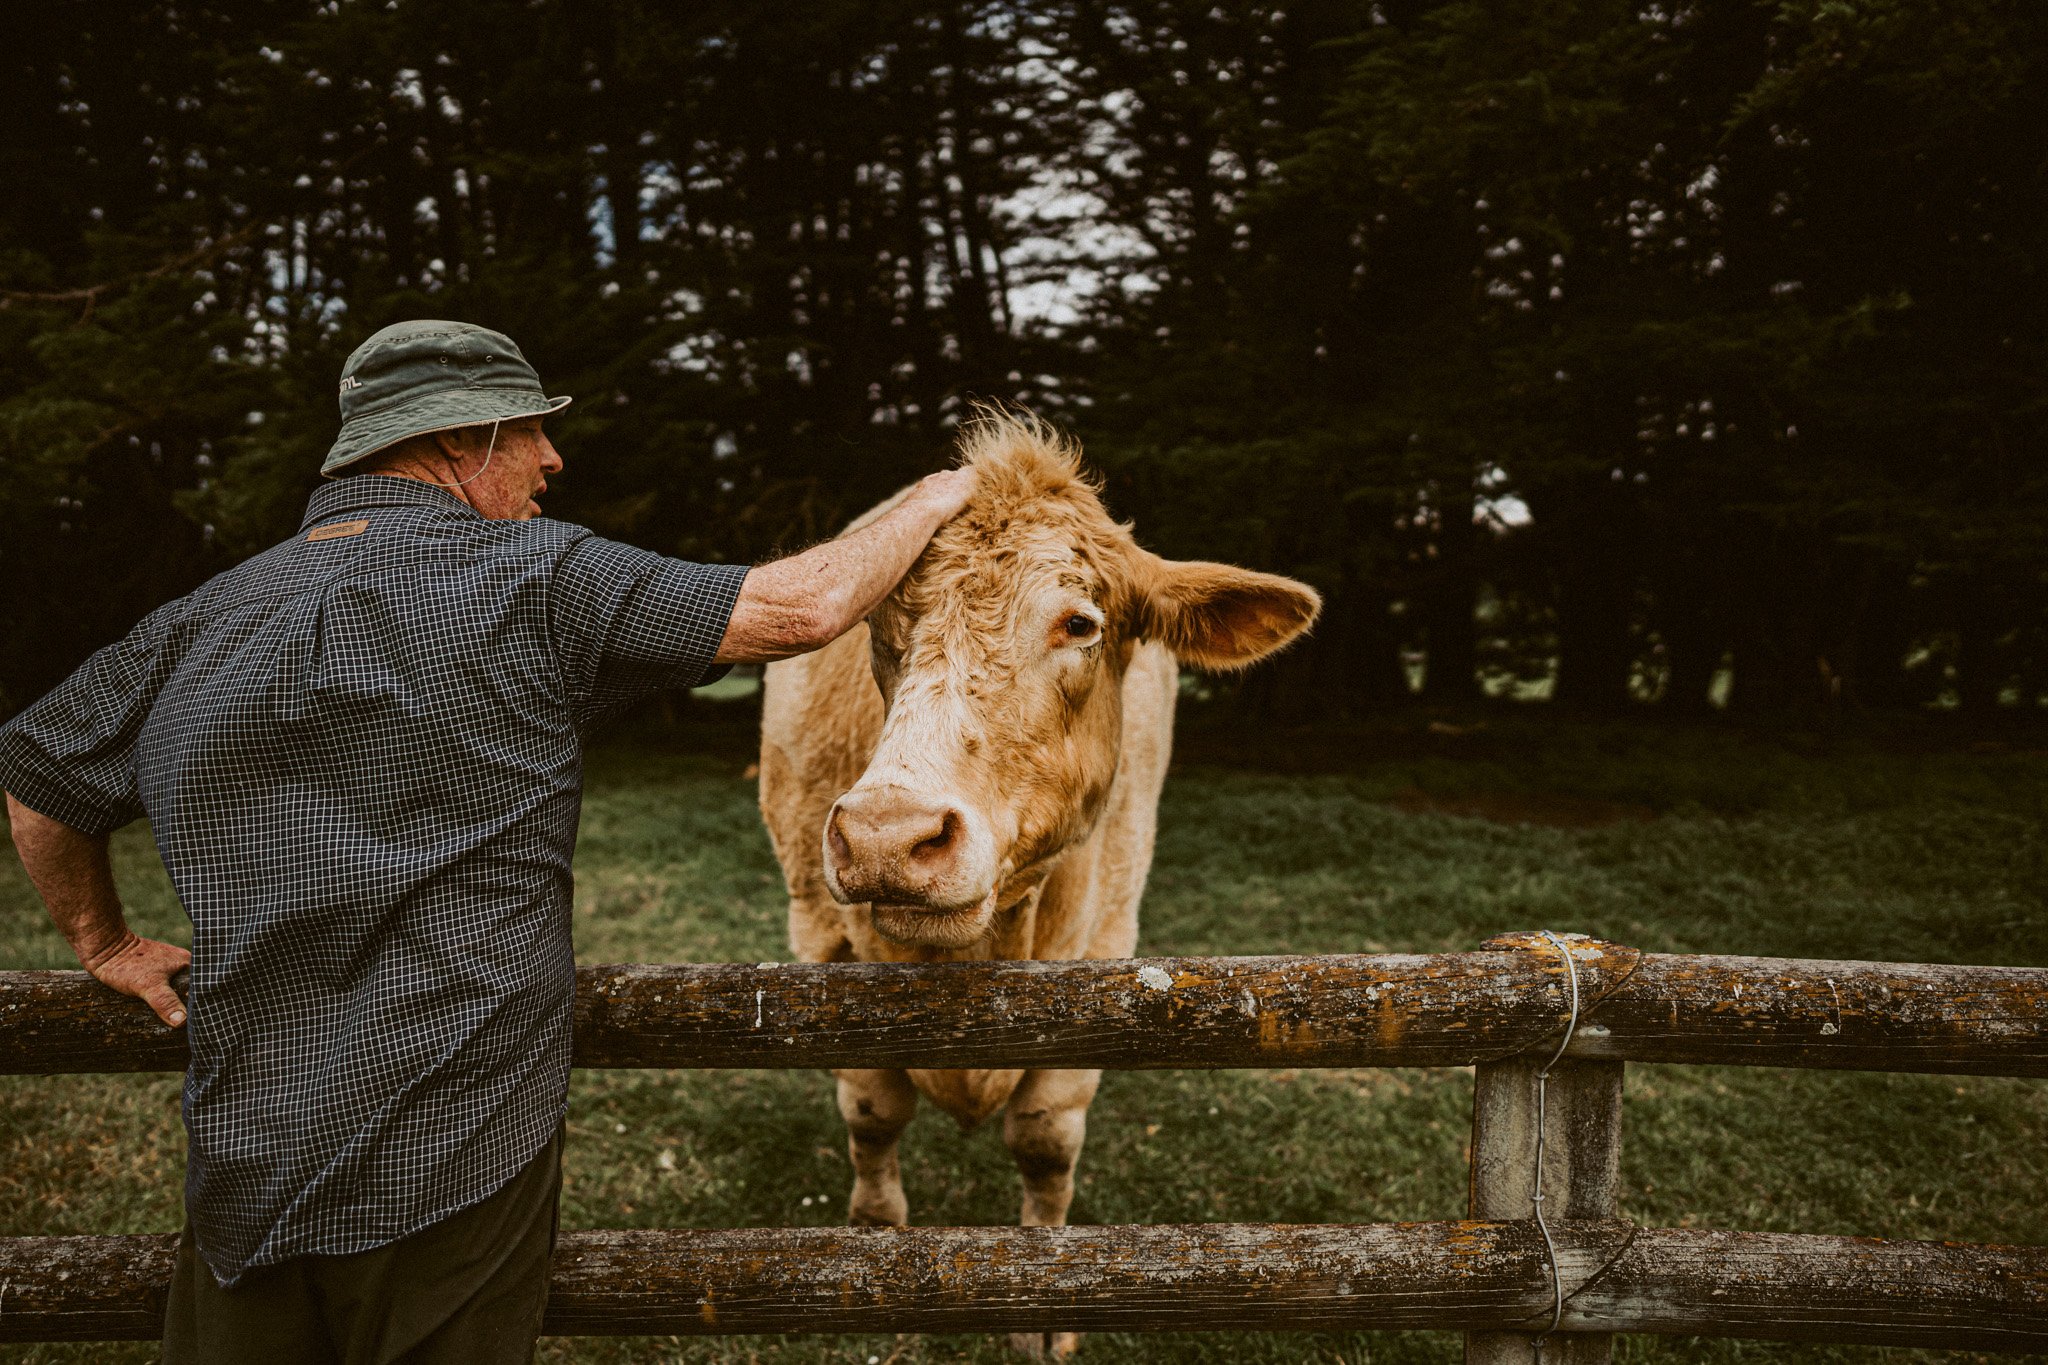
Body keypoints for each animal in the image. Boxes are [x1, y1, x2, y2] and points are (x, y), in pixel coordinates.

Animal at [761, 413, 1318, 1358]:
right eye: (882, 622)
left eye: (1079, 622)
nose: (886, 836)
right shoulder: (820, 934)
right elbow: (872, 1106)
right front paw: (875, 1234)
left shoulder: (1106, 941)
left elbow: (1047, 1137)